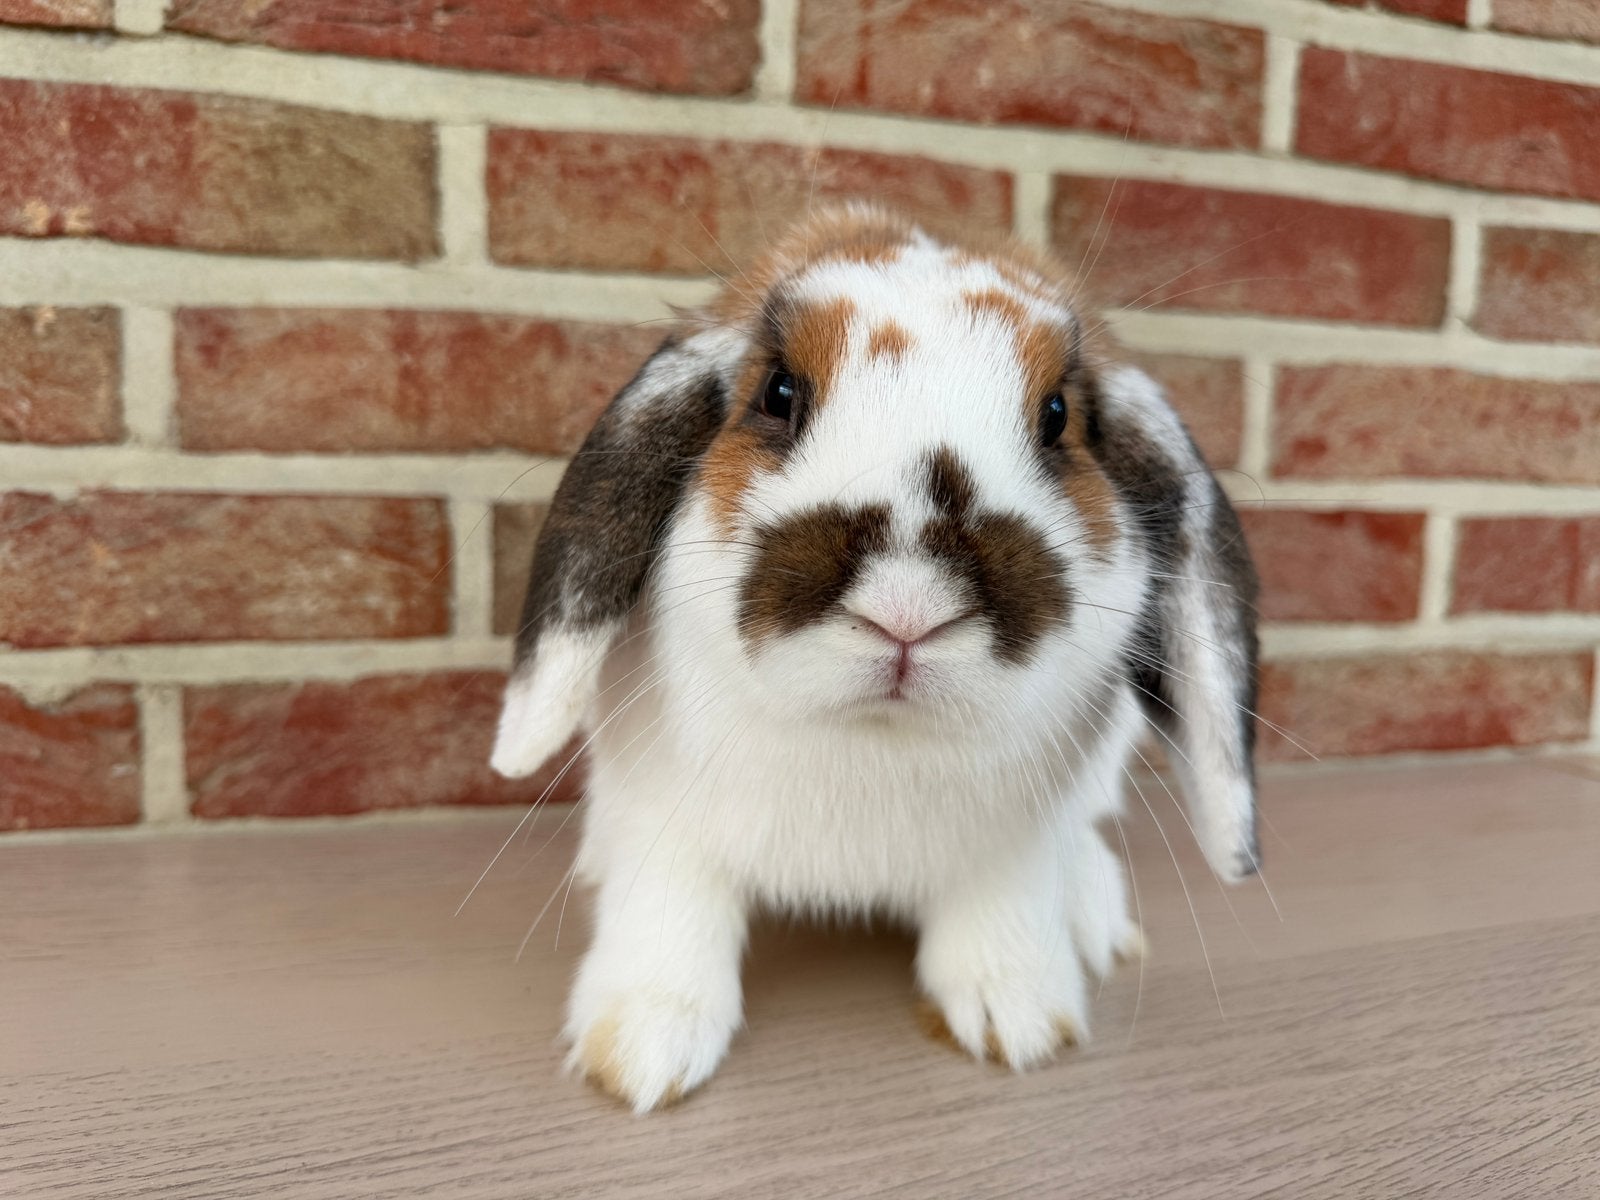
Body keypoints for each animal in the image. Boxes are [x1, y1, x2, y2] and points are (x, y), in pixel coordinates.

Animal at [491, 204, 1260, 1113]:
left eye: (1058, 416)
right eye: (778, 392)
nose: (907, 607)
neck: (873, 743)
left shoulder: (1013, 844)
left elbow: (1000, 913)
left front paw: (1019, 1018)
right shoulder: (662, 818)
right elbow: (670, 910)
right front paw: (643, 1050)